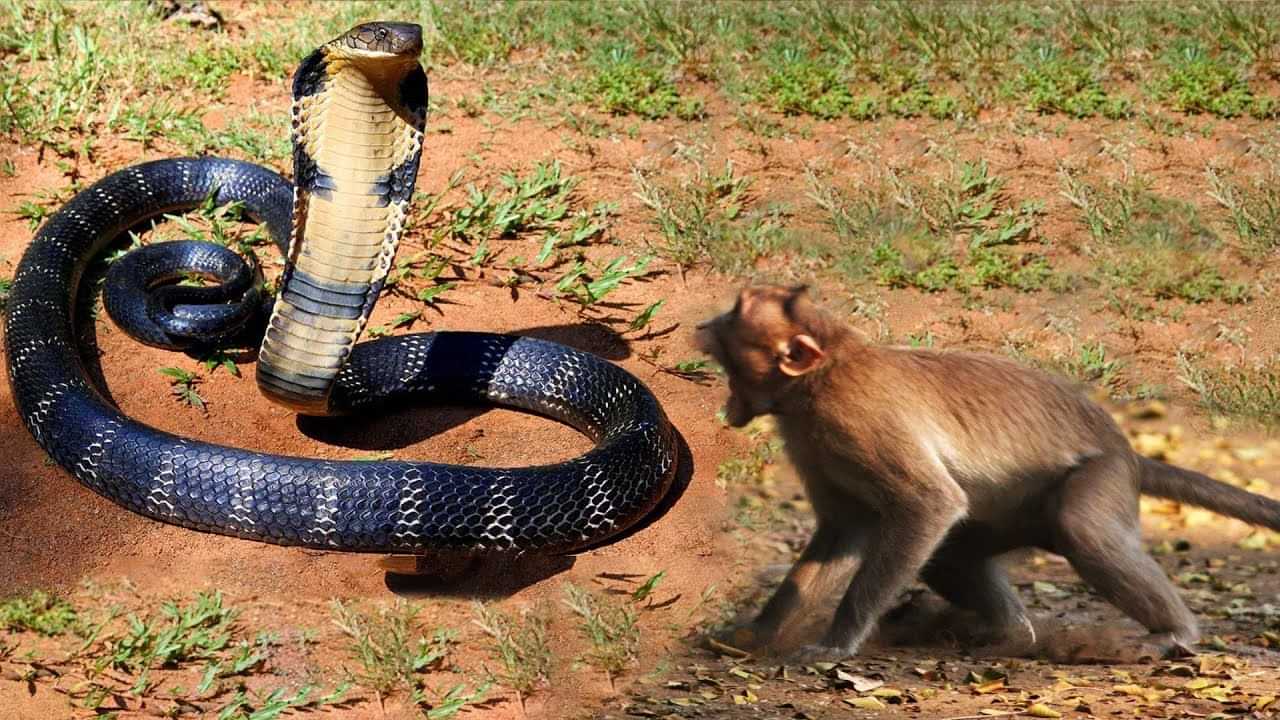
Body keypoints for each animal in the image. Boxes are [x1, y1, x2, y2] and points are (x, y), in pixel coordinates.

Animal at [693, 283, 1280, 662]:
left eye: (737, 311)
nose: (702, 323)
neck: (817, 380)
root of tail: (1127, 450)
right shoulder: (809, 439)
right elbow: (846, 531)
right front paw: (755, 633)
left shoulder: (853, 417)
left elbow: (929, 504)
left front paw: (838, 642)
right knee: (949, 555)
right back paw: (1012, 636)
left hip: (1104, 476)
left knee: (1080, 526)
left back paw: (1172, 633)